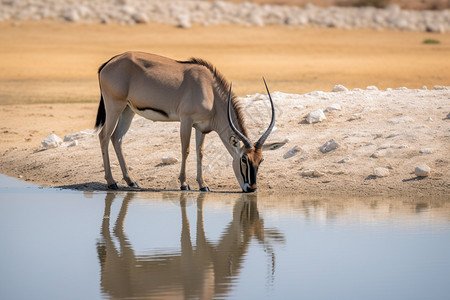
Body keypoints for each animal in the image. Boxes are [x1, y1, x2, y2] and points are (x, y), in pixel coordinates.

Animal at [95, 51, 274, 192]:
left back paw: (131, 181)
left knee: (116, 138)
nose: (251, 188)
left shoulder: (201, 128)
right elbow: (185, 150)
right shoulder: (186, 120)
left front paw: (203, 185)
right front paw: (184, 184)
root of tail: (108, 64)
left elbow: (200, 153)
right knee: (104, 136)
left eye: (261, 160)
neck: (210, 90)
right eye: (244, 159)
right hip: (114, 107)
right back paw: (111, 182)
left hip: (128, 110)